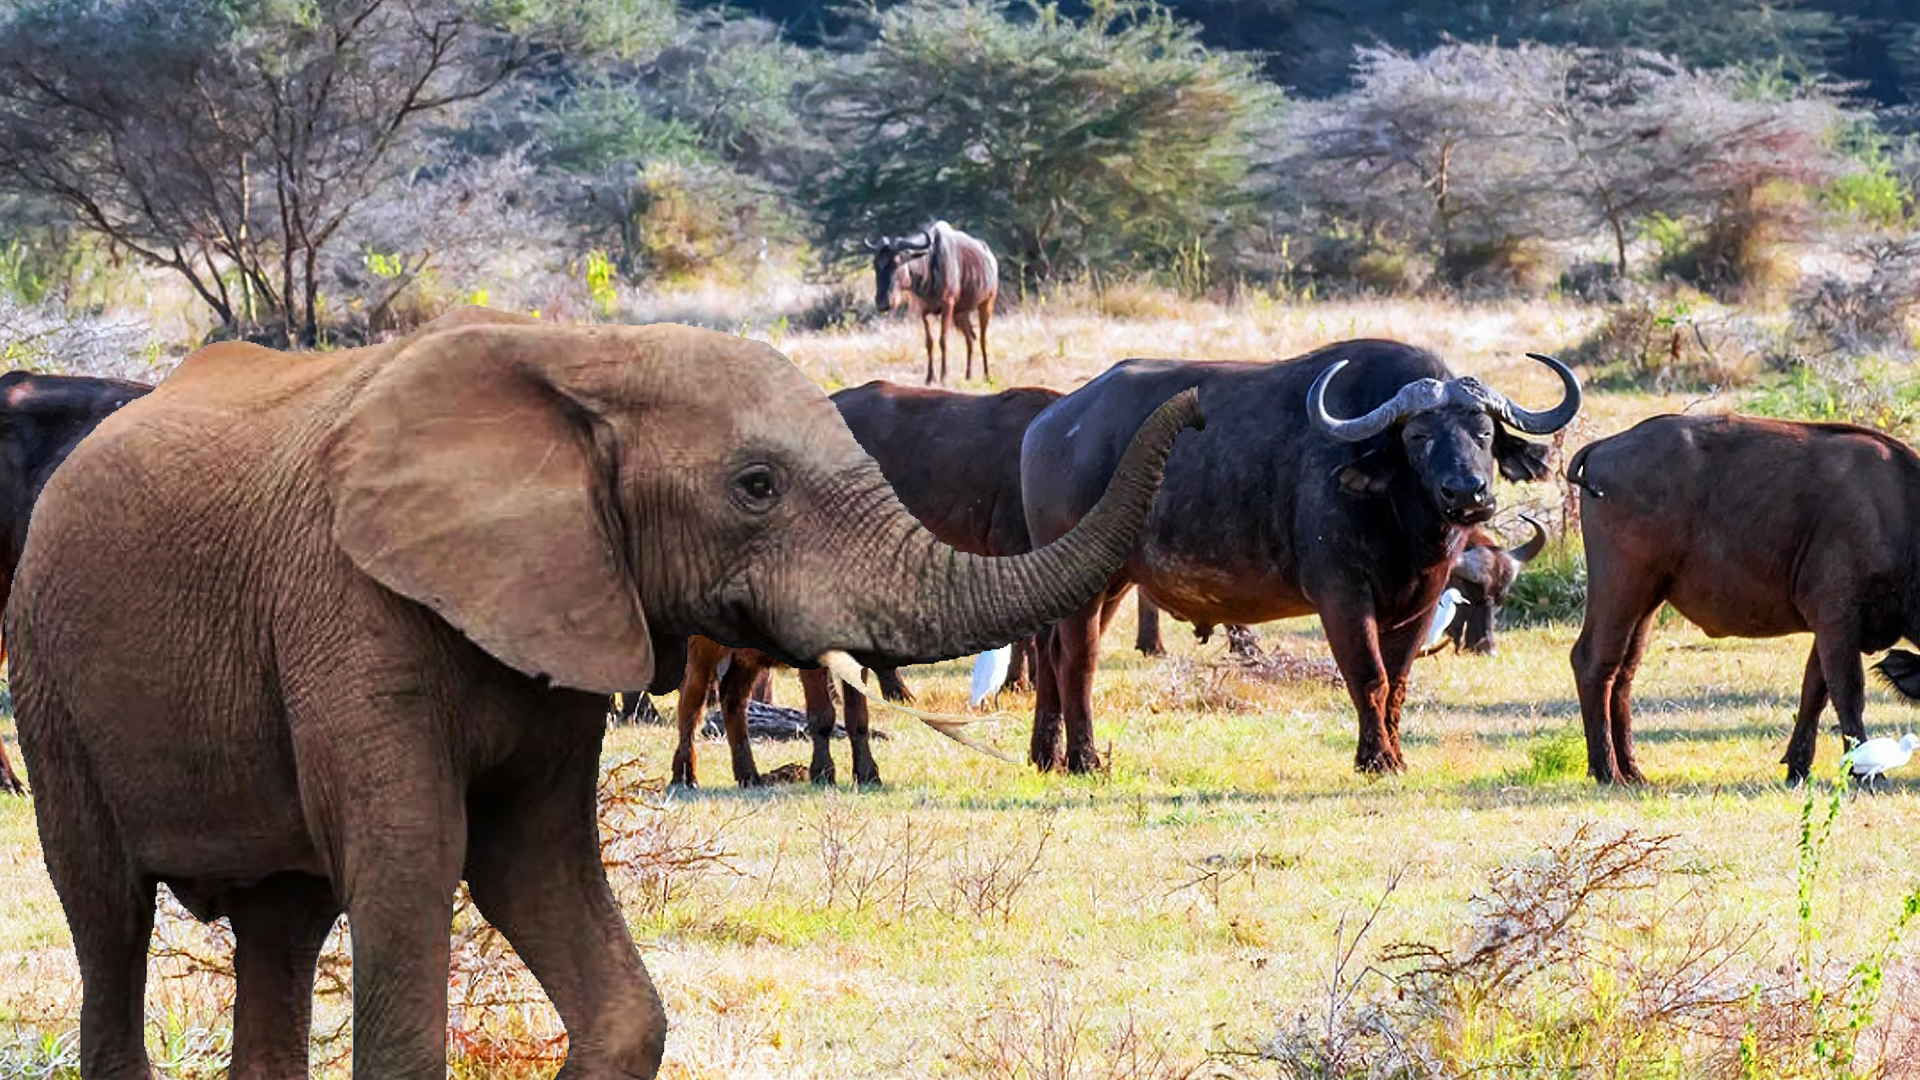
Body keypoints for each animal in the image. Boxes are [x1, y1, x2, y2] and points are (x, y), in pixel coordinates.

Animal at [1021, 340, 1574, 768]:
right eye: (1418, 436)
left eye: (1485, 433)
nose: (1467, 493)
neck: (1400, 520)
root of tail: (1047, 425)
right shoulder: (1342, 595)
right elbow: (1368, 674)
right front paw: (1375, 759)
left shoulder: (1421, 601)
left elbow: (1398, 680)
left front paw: (1396, 754)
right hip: (1088, 580)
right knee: (1078, 658)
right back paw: (1085, 759)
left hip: (1107, 579)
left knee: (1050, 650)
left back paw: (1046, 756)